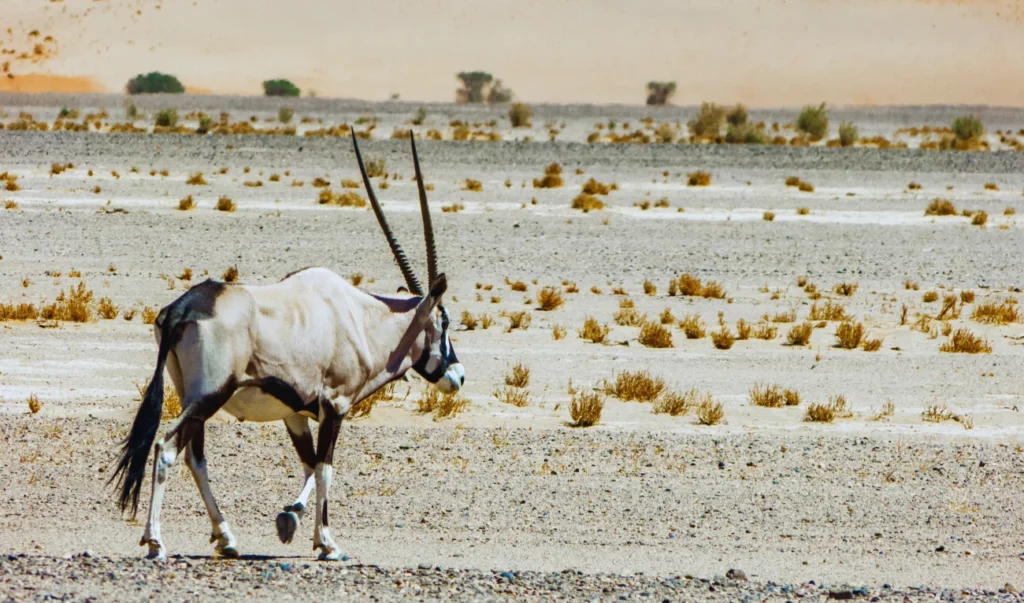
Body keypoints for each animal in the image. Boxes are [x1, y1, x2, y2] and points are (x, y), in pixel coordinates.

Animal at [111, 132, 464, 561]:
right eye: (445, 321)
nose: (458, 376)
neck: (362, 319)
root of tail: (182, 308)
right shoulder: (335, 406)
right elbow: (326, 468)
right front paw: (328, 543)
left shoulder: (295, 413)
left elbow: (309, 464)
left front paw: (290, 519)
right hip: (209, 395)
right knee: (166, 448)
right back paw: (156, 541)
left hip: (191, 396)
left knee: (195, 457)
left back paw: (226, 537)